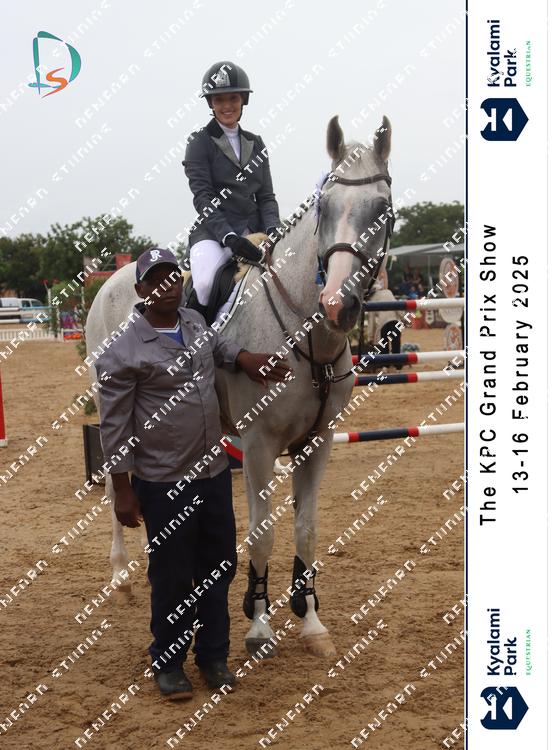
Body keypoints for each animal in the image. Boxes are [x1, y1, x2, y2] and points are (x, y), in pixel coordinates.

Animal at [85, 115, 393, 659]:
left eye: (382, 208)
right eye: (326, 208)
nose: (339, 305)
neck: (304, 329)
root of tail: (113, 279)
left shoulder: (318, 443)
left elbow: (306, 530)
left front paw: (311, 621)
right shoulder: (259, 446)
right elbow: (262, 533)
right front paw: (259, 624)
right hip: (110, 404)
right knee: (114, 477)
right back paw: (120, 576)